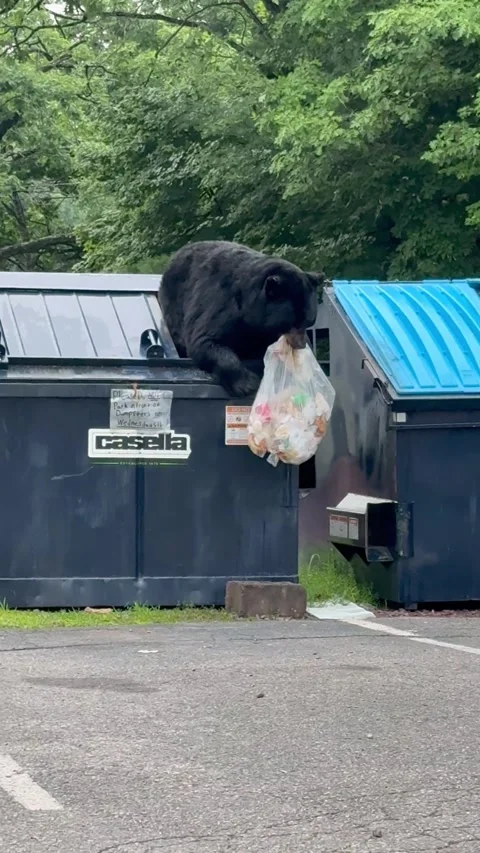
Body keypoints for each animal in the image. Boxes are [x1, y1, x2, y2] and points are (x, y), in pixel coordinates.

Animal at [159, 240, 327, 397]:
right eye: (292, 324)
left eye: (308, 322)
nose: (301, 344)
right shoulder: (220, 301)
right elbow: (205, 340)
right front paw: (246, 384)